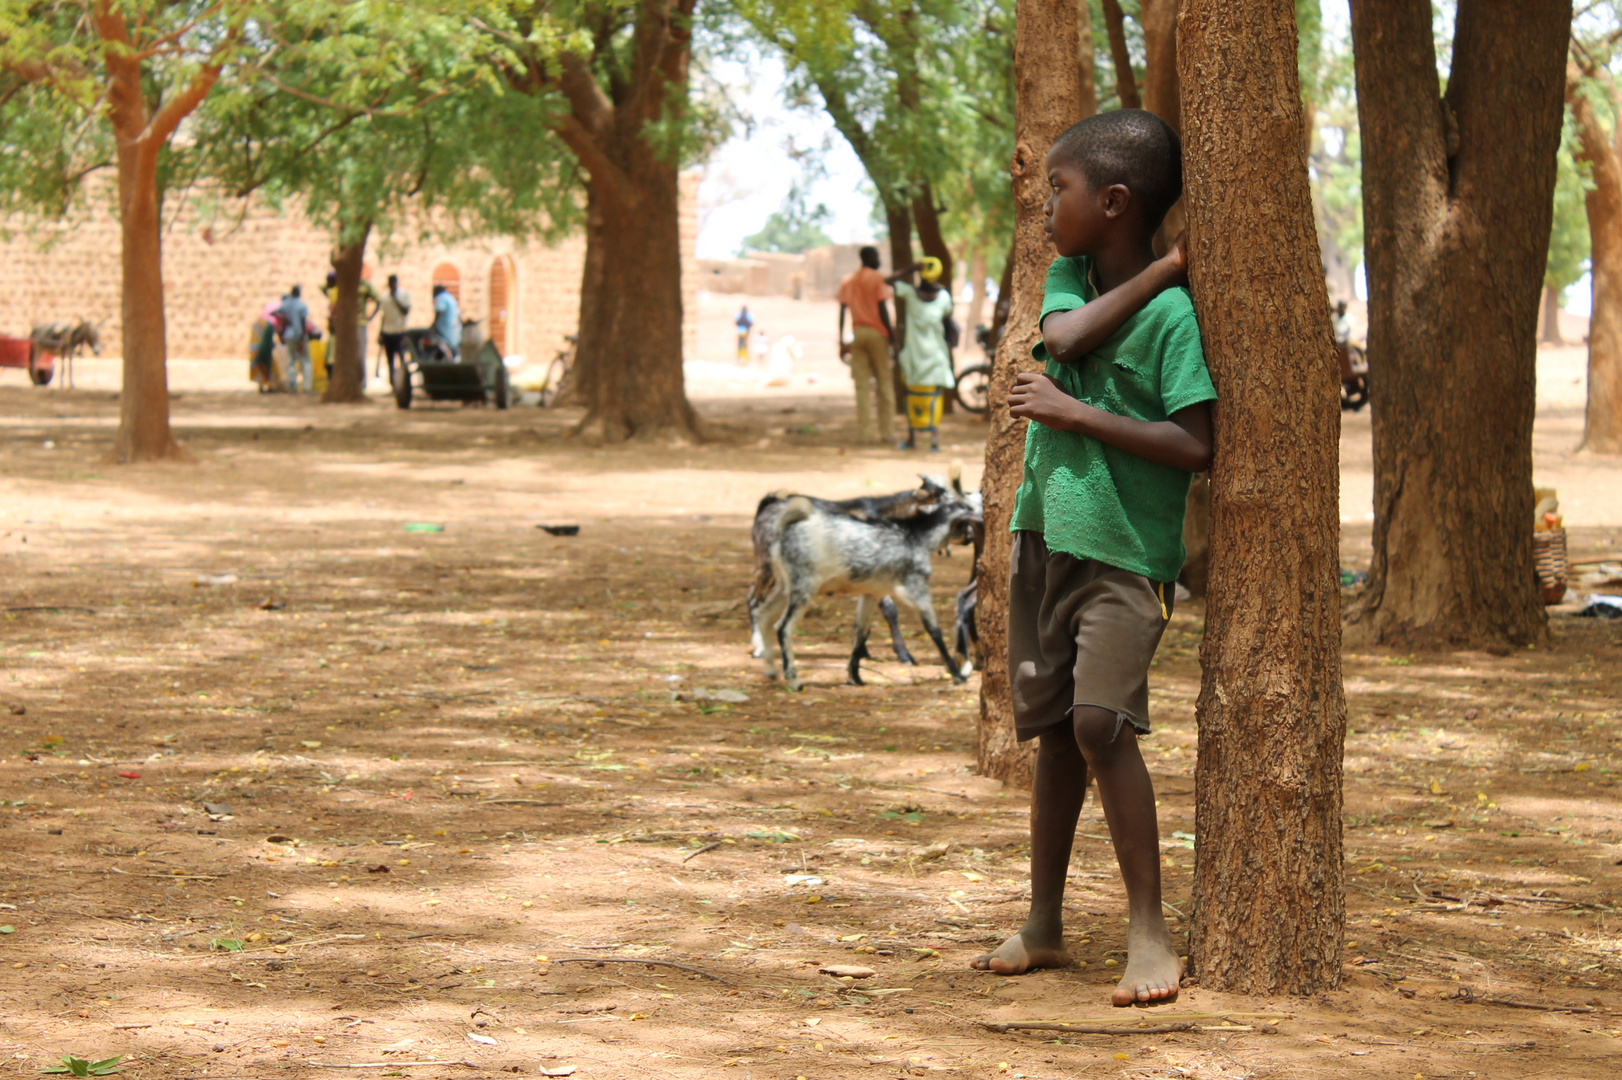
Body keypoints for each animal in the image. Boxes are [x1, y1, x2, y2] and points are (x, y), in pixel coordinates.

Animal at [755, 467, 973, 684]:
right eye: (942, 496)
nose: (971, 534)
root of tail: (770, 503)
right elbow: (900, 615)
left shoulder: (871, 587)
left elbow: (863, 627)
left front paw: (857, 668)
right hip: (782, 577)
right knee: (764, 609)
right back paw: (773, 661)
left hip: (784, 584)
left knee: (763, 612)